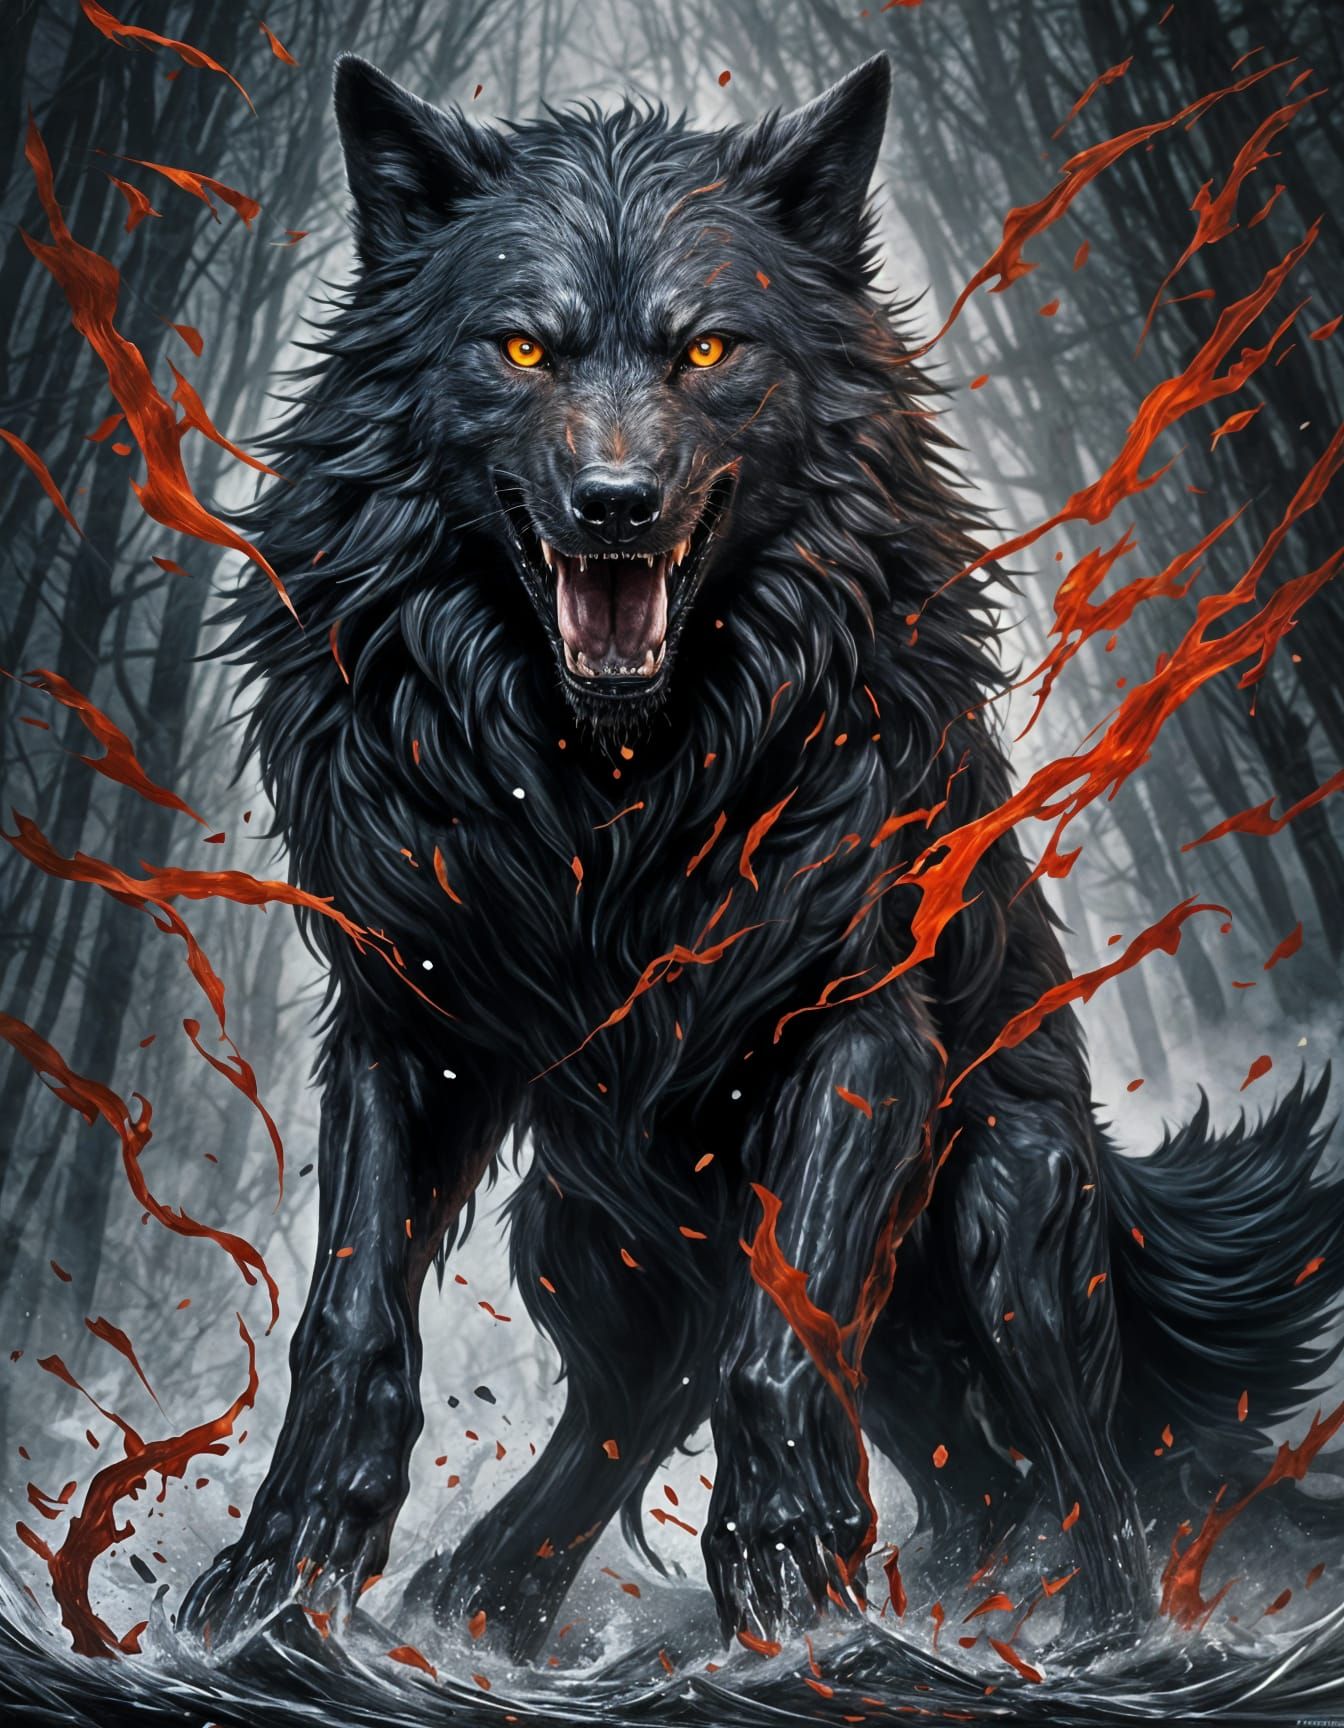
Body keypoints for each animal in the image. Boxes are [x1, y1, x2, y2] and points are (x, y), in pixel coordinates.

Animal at [180, 53, 1344, 1661]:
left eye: (709, 348)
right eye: (524, 347)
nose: (614, 506)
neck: (612, 797)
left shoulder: (854, 1029)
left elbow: (786, 1328)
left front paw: (790, 1579)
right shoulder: (405, 1022)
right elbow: (348, 1321)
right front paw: (279, 1573)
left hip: (1007, 1203)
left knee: (1085, 1479)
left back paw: (1085, 1631)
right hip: (582, 1242)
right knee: (703, 1417)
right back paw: (486, 1603)